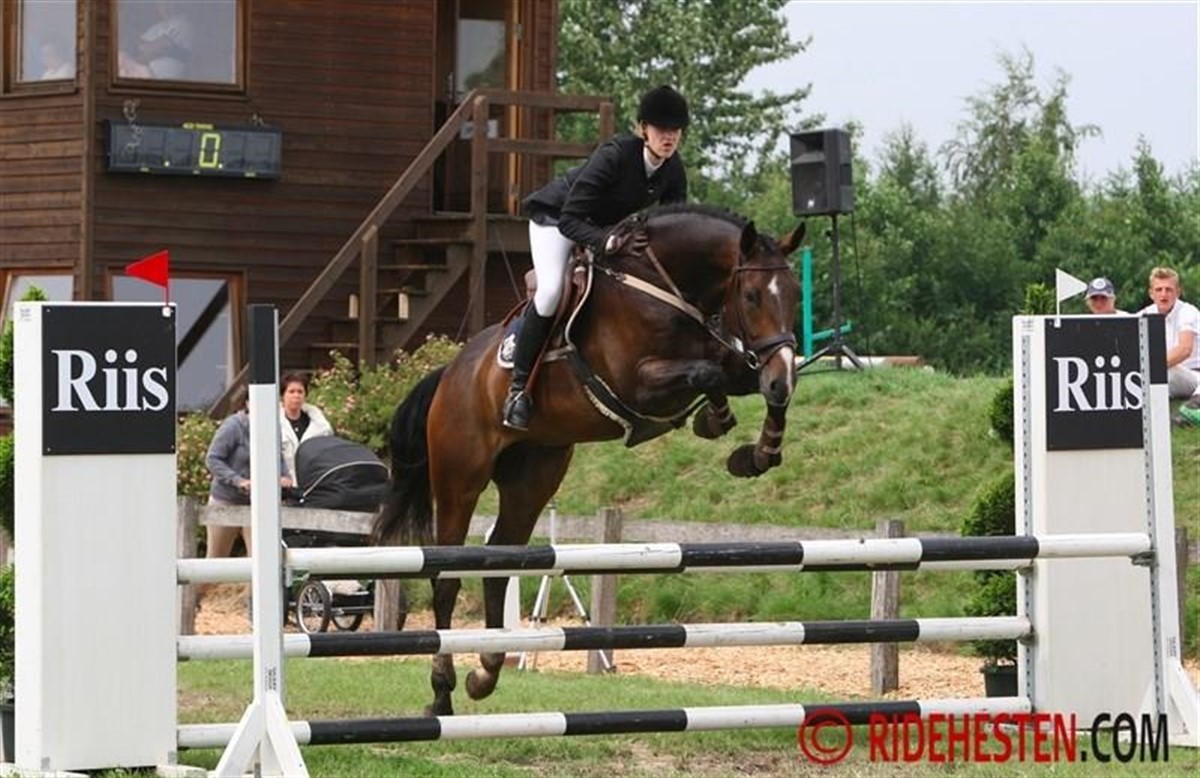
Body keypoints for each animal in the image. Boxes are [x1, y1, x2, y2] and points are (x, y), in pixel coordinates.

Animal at [372, 203, 804, 716]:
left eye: (796, 295)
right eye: (753, 296)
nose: (780, 376)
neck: (670, 287)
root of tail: (450, 373)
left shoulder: (738, 362)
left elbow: (741, 380)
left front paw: (756, 453)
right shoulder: (638, 383)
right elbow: (707, 373)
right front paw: (717, 420)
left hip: (532, 477)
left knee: (498, 565)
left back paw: (486, 672)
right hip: (459, 478)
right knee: (447, 577)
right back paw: (441, 692)